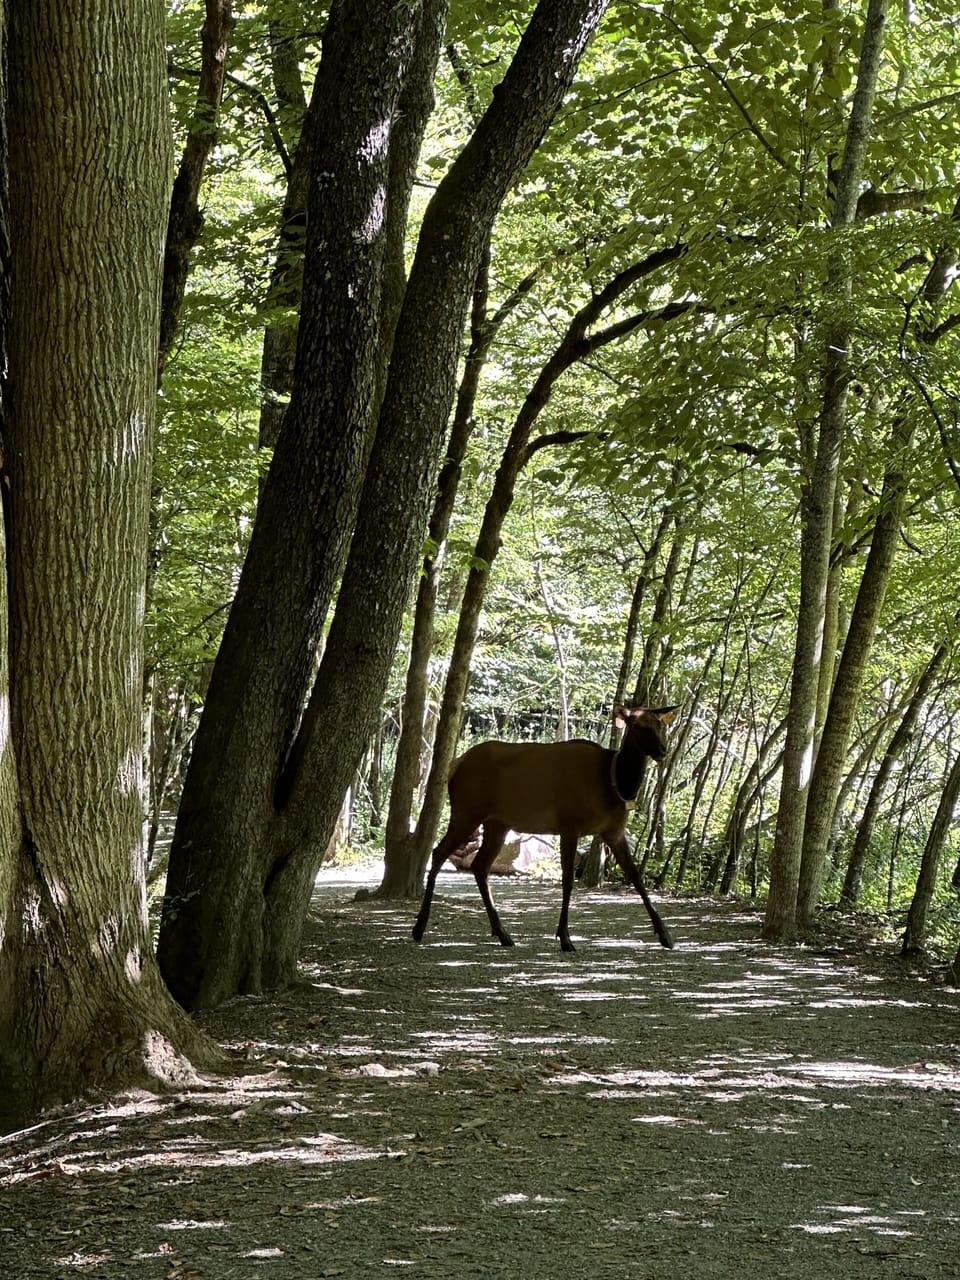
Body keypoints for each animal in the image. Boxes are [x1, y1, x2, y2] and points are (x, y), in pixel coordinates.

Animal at [411, 704, 676, 952]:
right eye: (638, 726)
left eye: (661, 725)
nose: (663, 750)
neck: (613, 784)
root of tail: (455, 765)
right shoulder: (570, 824)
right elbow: (568, 879)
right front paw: (565, 937)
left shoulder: (613, 831)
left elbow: (636, 876)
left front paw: (665, 935)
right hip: (467, 811)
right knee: (439, 852)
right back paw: (419, 927)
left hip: (497, 823)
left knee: (479, 866)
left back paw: (503, 934)